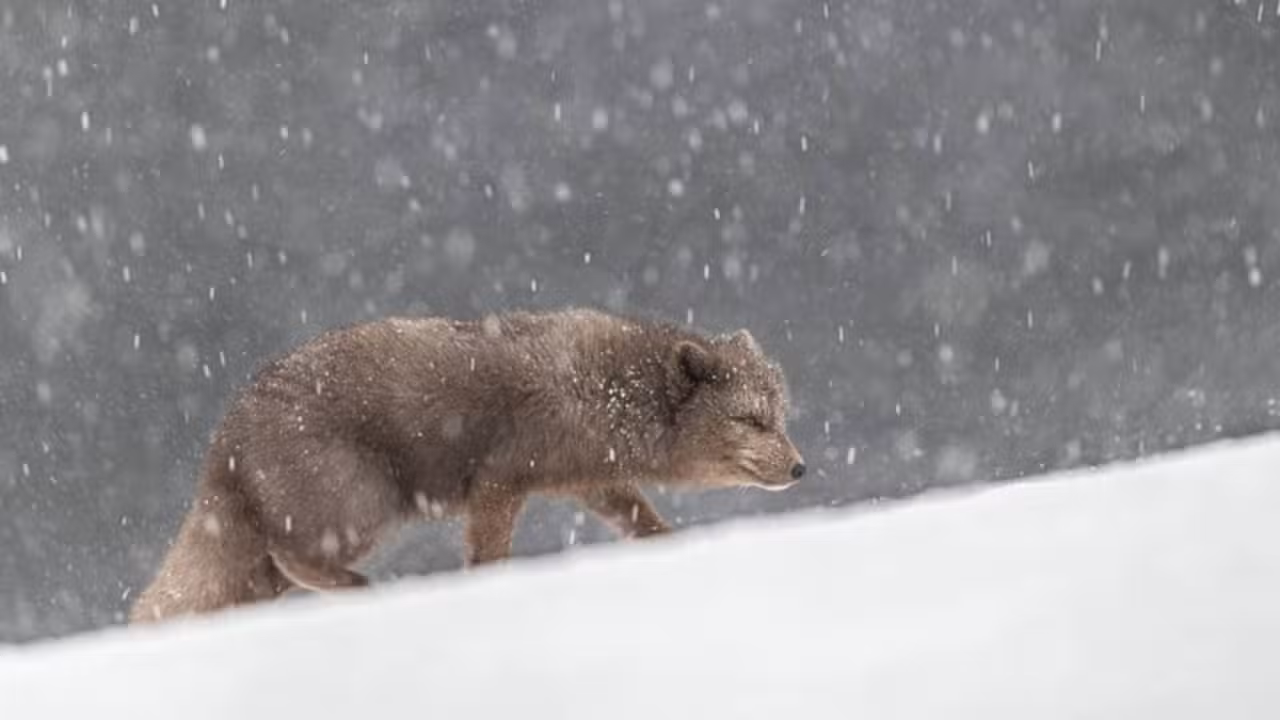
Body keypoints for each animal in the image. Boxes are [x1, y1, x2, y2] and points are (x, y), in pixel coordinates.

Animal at [129, 307, 805, 624]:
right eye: (750, 421)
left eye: (781, 417)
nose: (801, 468)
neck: (609, 389)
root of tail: (225, 436)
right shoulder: (503, 481)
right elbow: (489, 555)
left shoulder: (591, 480)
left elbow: (644, 523)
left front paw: (675, 547)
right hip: (362, 511)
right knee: (291, 559)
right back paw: (369, 591)